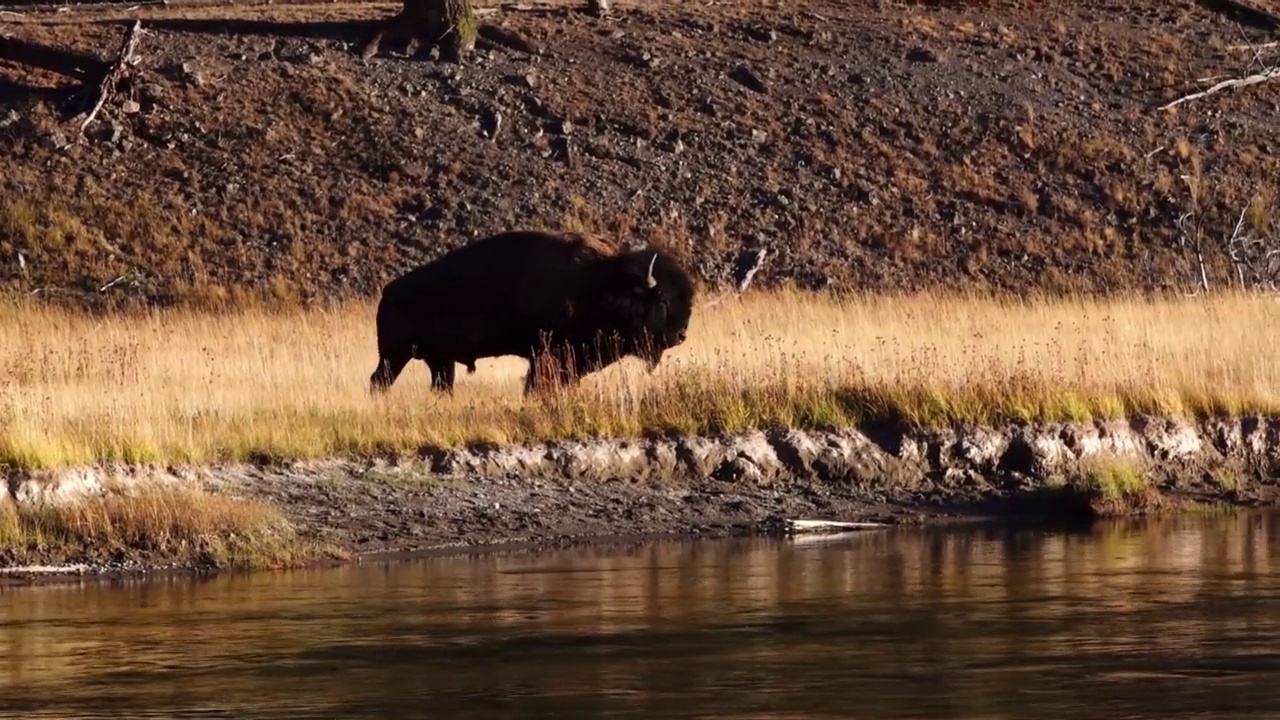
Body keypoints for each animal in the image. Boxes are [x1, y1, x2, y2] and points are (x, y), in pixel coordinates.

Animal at [366, 228, 696, 392]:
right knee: (378, 381)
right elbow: (535, 383)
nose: (680, 335)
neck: (601, 282)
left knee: (440, 384)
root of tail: (389, 292)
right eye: (662, 300)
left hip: (438, 362)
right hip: (394, 356)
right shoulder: (545, 354)